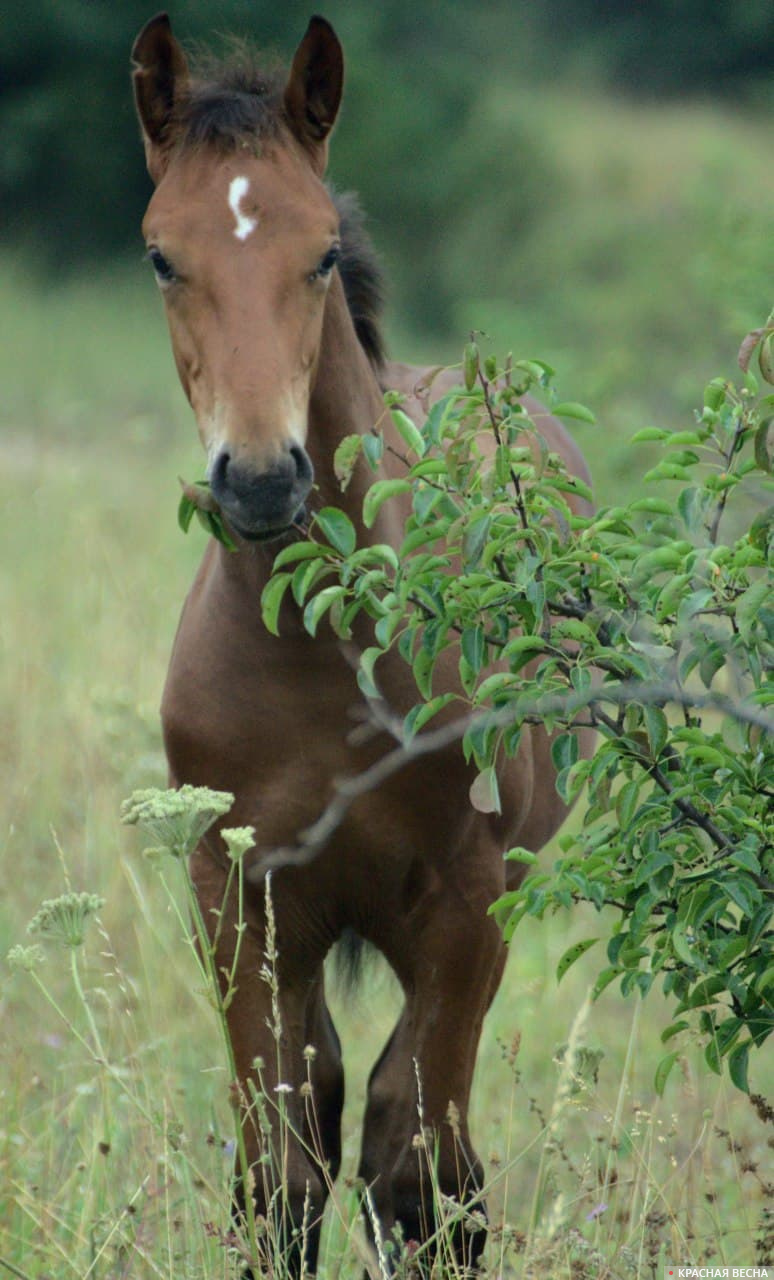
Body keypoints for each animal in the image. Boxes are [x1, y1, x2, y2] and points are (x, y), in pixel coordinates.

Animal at [133, 10, 591, 1269]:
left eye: (324, 253)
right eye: (161, 256)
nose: (259, 479)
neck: (316, 658)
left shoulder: (468, 904)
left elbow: (419, 1168)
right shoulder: (238, 899)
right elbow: (280, 1174)